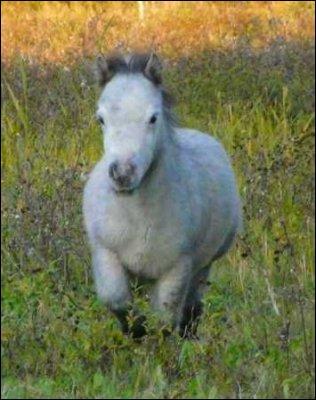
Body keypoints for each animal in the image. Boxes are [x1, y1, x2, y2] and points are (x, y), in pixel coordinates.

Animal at [82, 53, 241, 338]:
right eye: (101, 119)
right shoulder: (106, 254)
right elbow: (117, 301)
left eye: (153, 118)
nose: (123, 174)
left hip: (203, 267)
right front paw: (135, 333)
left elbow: (164, 322)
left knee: (192, 310)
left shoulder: (176, 268)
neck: (138, 217)